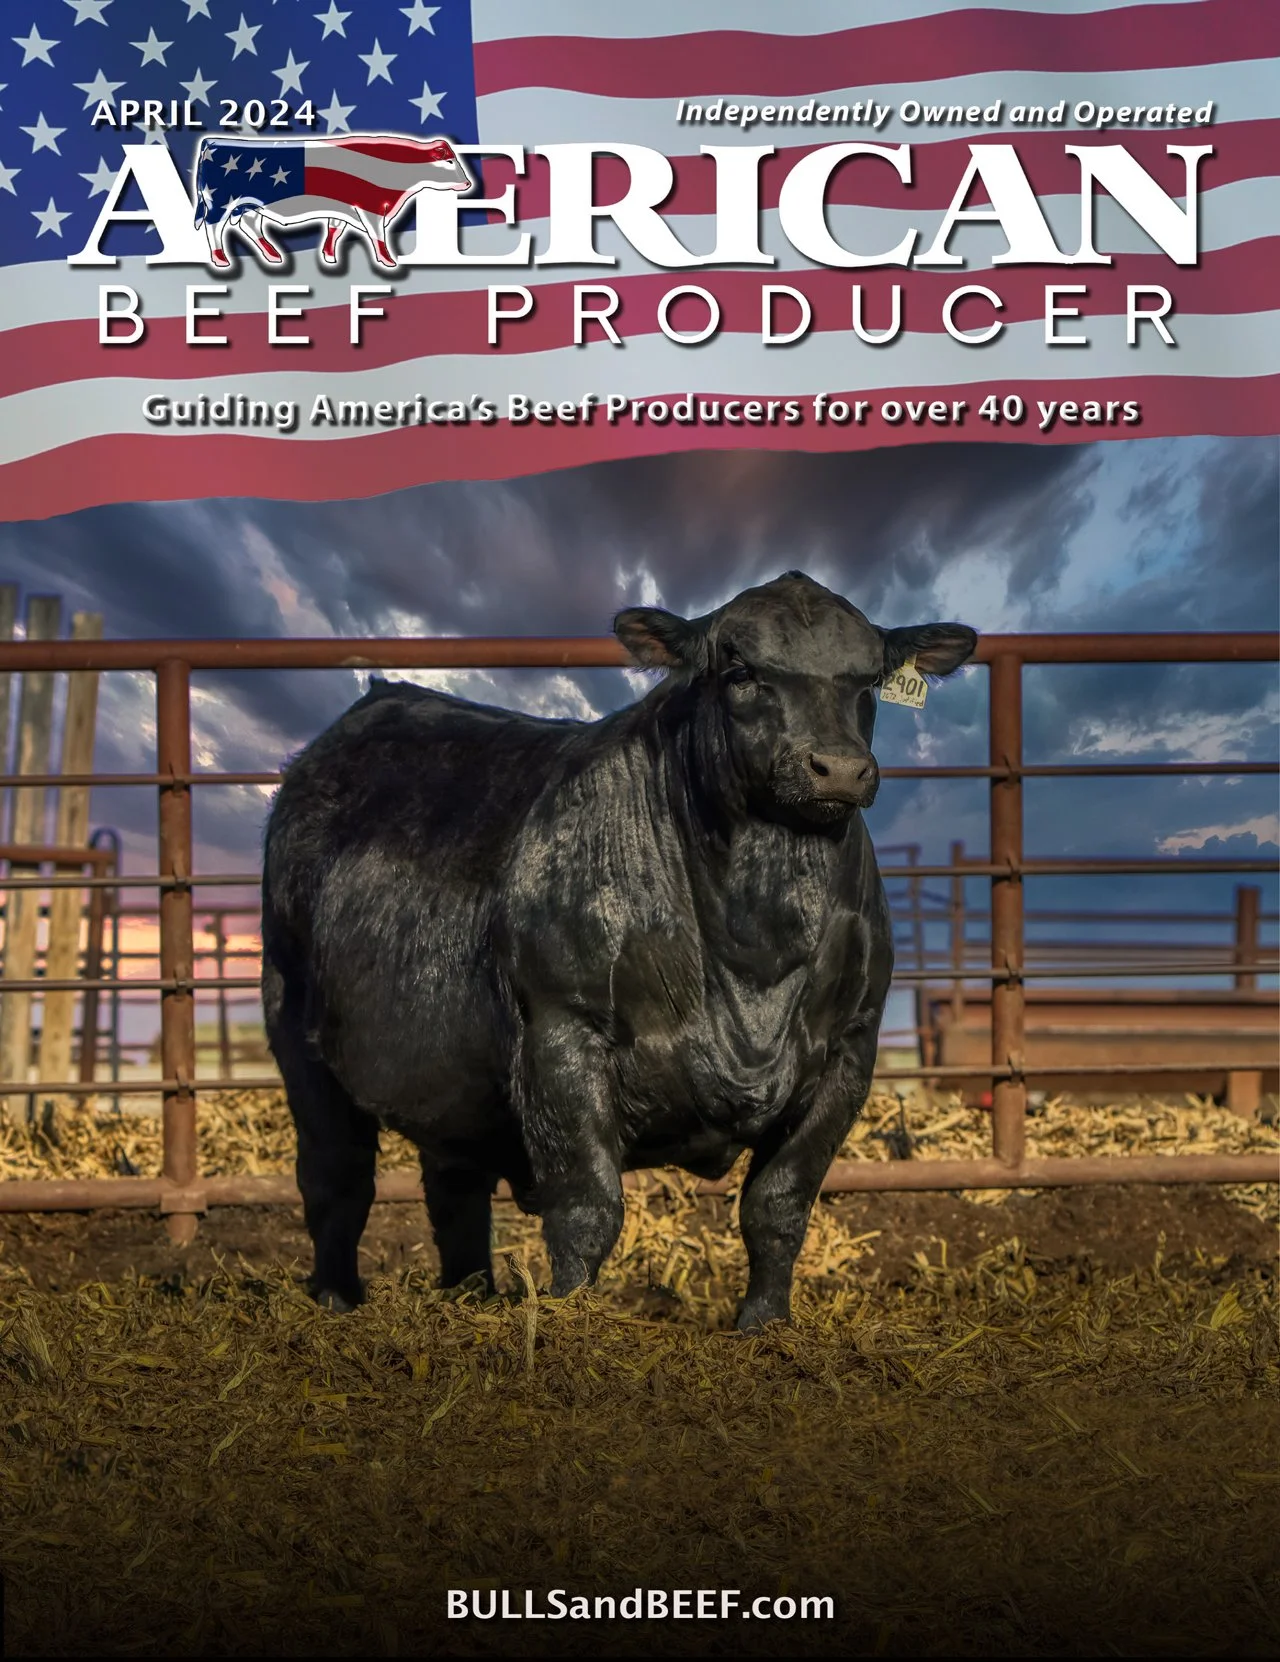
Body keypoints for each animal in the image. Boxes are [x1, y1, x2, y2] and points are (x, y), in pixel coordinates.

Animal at [192, 132, 473, 271]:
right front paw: (387, 260)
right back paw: (221, 259)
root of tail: (212, 141)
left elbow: (334, 231)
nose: (468, 184)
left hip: (251, 205)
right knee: (214, 227)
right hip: (221, 202)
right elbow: (378, 236)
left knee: (249, 226)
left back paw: (273, 255)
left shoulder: (343, 208)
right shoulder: (372, 207)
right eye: (449, 161)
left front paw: (328, 255)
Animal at [261, 573, 977, 1330]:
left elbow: (777, 1206)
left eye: (869, 680)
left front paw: (765, 1327)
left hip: (448, 1070)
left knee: (454, 1189)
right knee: (335, 1177)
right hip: (295, 1025)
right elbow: (587, 1210)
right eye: (740, 671)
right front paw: (573, 1320)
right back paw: (336, 1300)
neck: (757, 947)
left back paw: (471, 1295)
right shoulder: (560, 1033)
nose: (836, 768)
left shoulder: (851, 1050)